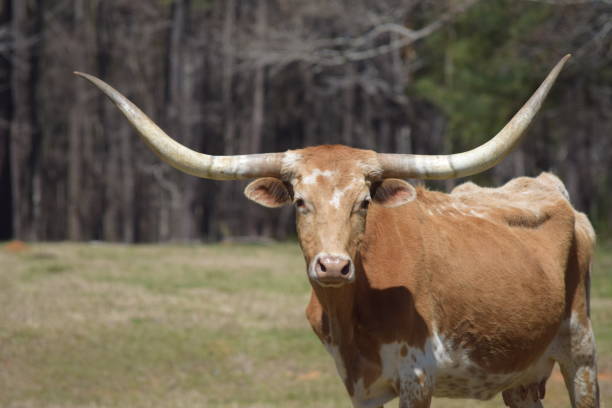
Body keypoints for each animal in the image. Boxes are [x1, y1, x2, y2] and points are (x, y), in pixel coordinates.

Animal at [75, 54, 596, 408]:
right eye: (300, 202)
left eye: (363, 202)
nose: (331, 266)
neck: (356, 310)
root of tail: (548, 185)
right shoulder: (361, 387)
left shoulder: (417, 378)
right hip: (521, 376)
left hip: (582, 353)